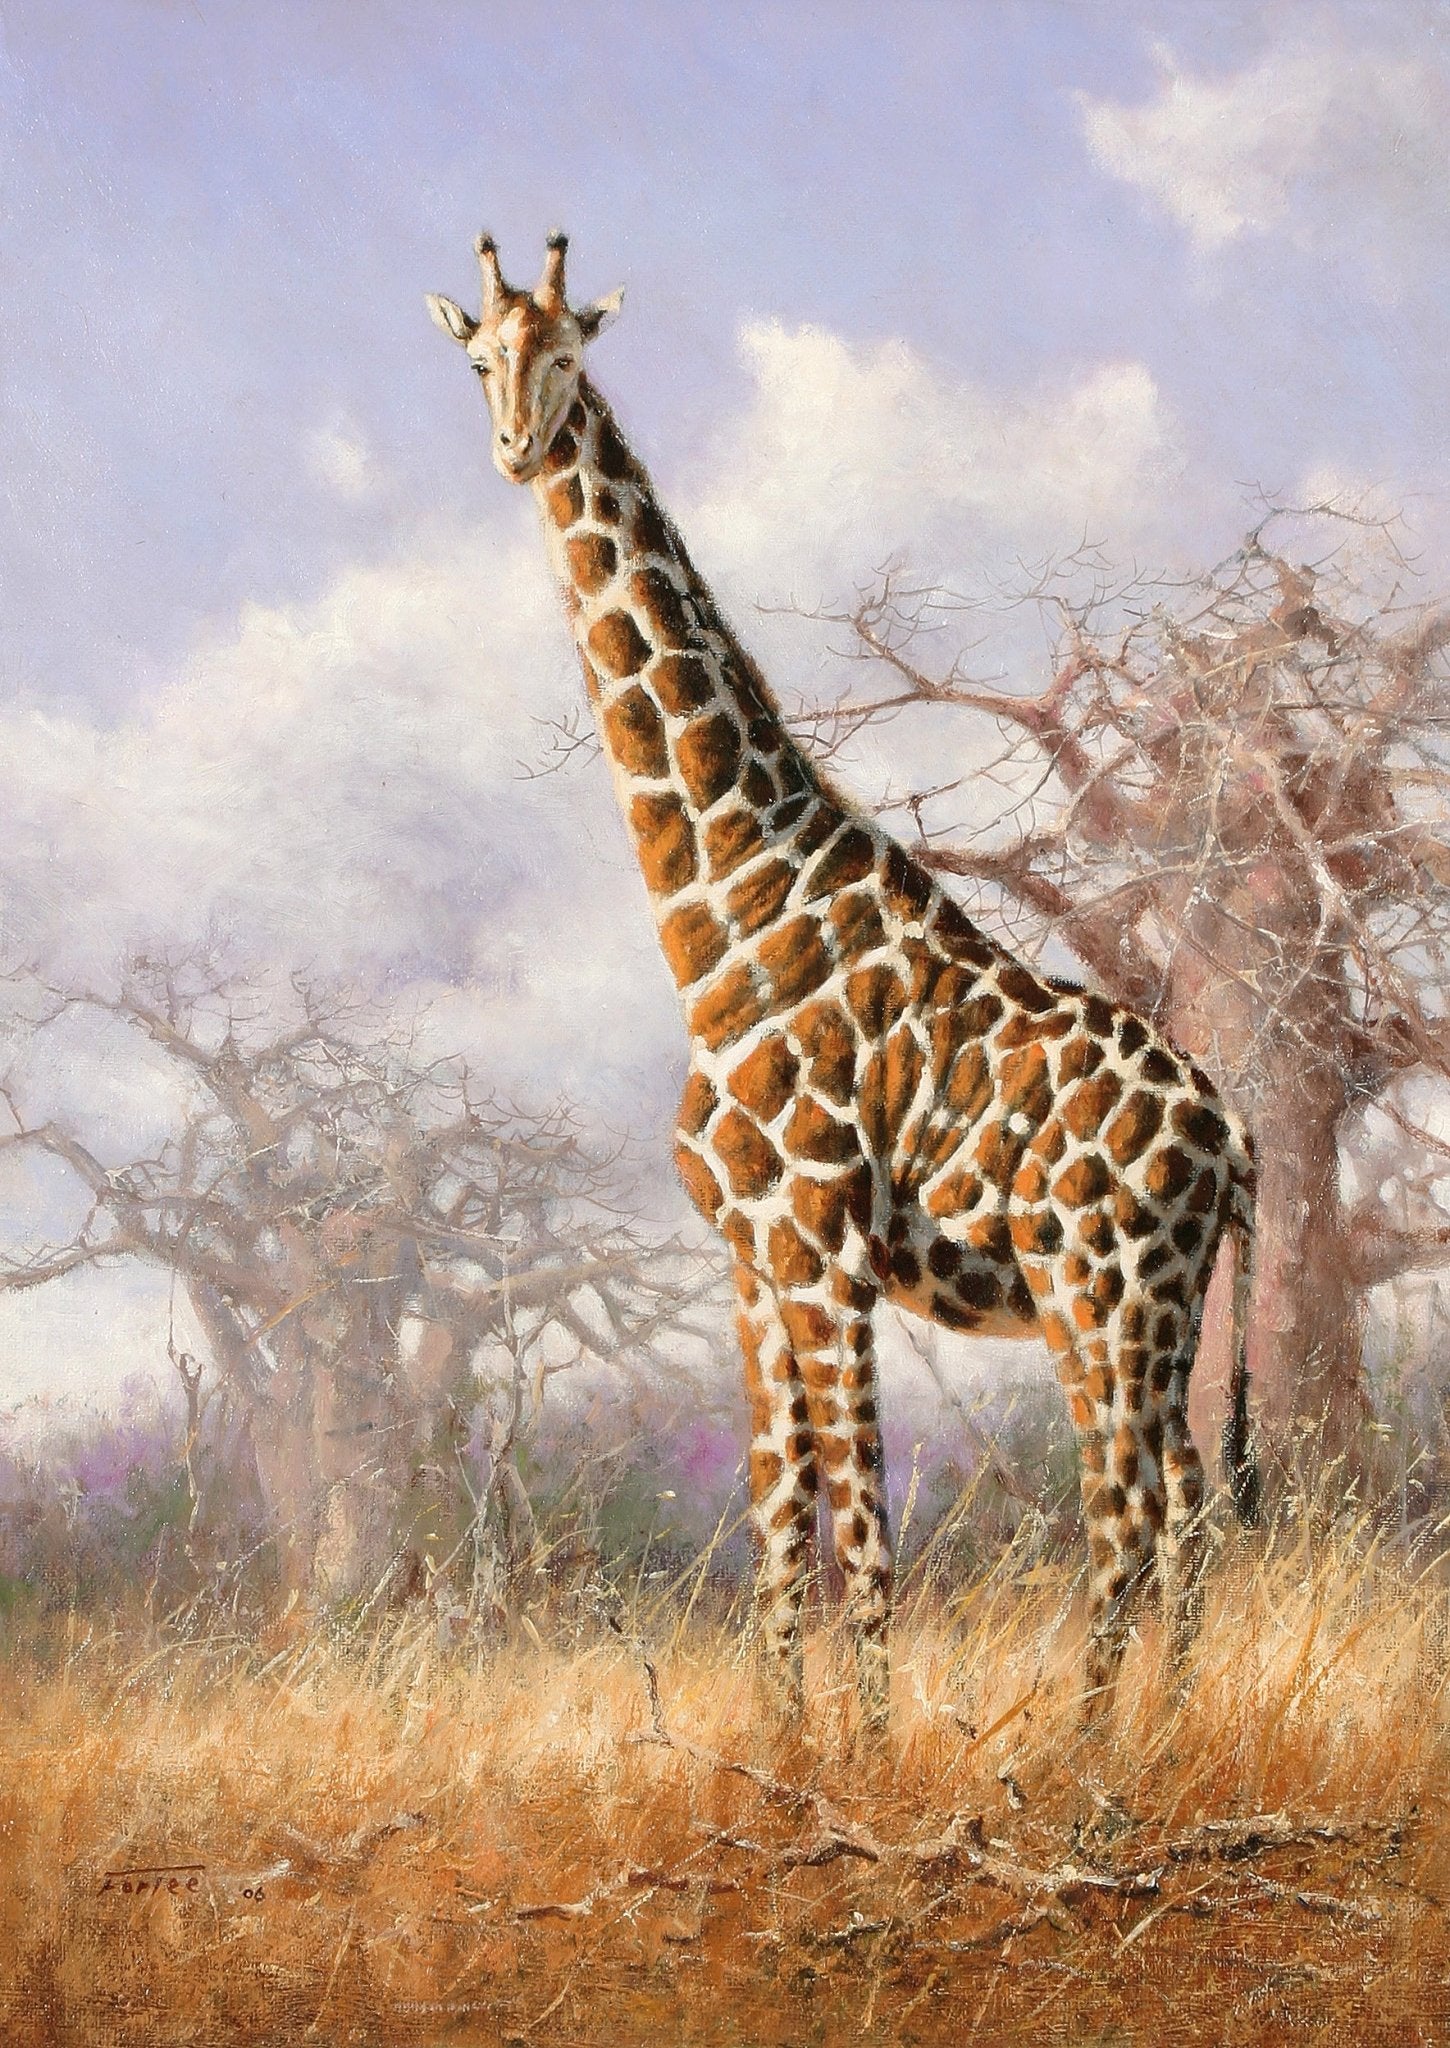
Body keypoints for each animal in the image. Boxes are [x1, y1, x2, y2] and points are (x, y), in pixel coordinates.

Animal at [428, 232, 1259, 1727]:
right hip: (1156, 1315)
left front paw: (859, 1756)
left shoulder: (823, 1251)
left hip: (1098, 1298)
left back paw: (1076, 1749)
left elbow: (862, 1532)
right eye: (478, 360)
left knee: (1123, 1517)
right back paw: (1154, 1736)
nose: (518, 447)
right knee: (1182, 1510)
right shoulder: (752, 1261)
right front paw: (781, 1745)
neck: (727, 917)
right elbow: (775, 1527)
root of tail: (1235, 1136)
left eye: (566, 352)